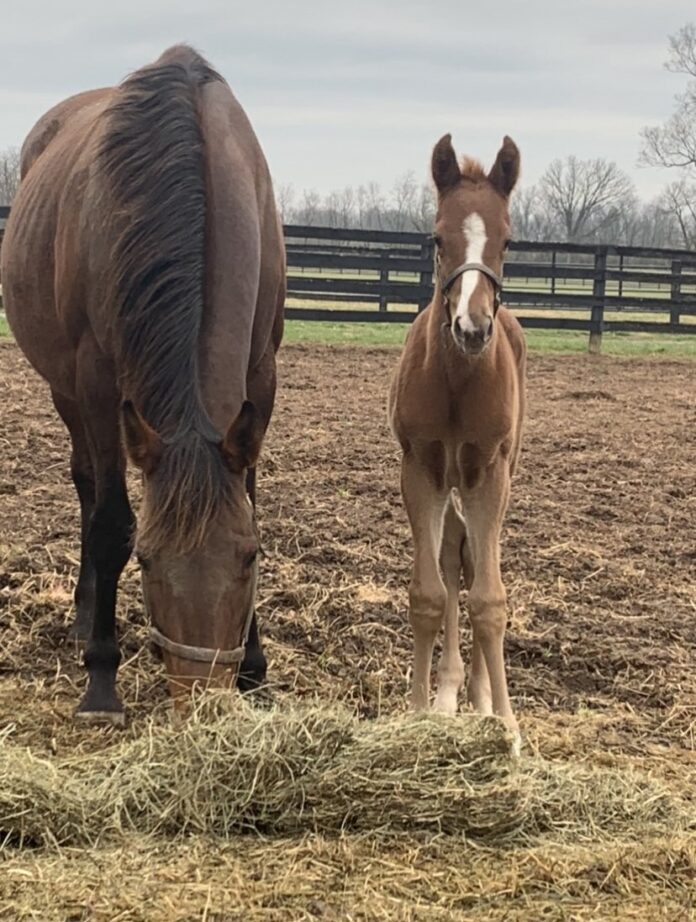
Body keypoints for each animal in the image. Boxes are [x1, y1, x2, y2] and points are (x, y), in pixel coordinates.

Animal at [1, 46, 286, 724]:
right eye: (149, 560)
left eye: (248, 556)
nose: (203, 701)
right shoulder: (99, 384)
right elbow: (110, 523)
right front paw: (102, 681)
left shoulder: (261, 376)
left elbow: (252, 500)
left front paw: (256, 669)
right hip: (67, 393)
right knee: (86, 486)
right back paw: (85, 620)